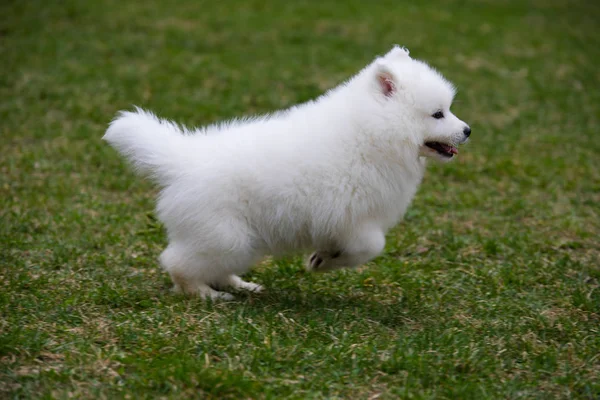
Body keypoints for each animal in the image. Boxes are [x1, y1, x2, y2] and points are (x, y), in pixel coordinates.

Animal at [103, 45, 468, 300]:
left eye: (447, 110)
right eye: (438, 114)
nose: (467, 130)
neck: (371, 133)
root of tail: (181, 160)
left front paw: (323, 258)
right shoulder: (352, 218)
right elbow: (371, 247)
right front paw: (324, 261)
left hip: (242, 242)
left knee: (213, 267)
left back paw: (241, 285)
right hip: (226, 237)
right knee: (178, 263)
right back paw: (206, 294)